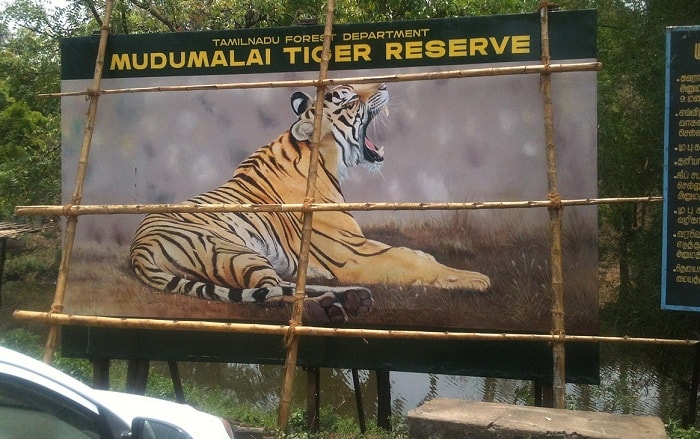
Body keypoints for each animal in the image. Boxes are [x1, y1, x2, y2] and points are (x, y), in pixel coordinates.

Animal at [133, 83, 492, 324]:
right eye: (349, 98)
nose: (385, 85)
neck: (323, 161)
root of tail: (138, 251)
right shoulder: (352, 251)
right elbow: (410, 259)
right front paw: (475, 278)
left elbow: (414, 253)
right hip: (234, 251)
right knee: (270, 292)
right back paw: (331, 305)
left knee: (284, 285)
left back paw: (351, 298)